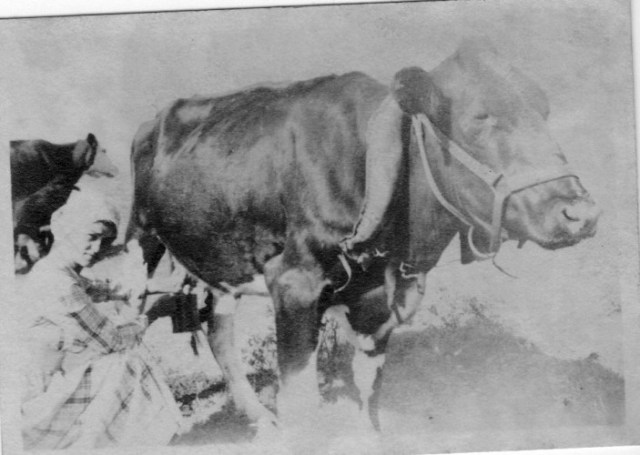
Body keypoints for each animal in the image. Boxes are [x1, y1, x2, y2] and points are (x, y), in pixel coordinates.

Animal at [126, 40, 600, 438]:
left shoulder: (376, 296)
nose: (581, 214)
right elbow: (301, 400)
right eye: (480, 119)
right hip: (142, 240)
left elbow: (370, 389)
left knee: (217, 326)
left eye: (544, 111)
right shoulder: (294, 285)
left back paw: (258, 417)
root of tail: (157, 116)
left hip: (220, 258)